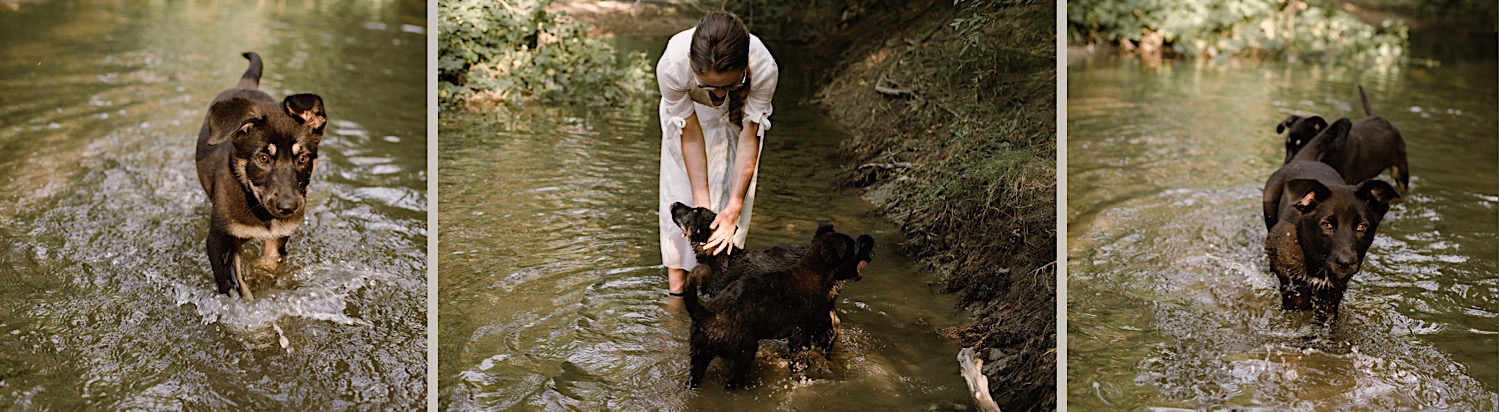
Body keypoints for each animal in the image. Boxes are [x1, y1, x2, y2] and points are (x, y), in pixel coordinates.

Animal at [193, 52, 325, 301]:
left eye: (303, 158)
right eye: (263, 158)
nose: (288, 207)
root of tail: (246, 85)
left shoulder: (281, 233)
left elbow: (271, 259)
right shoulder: (219, 241)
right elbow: (235, 288)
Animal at [683, 224, 875, 389]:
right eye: (854, 247)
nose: (871, 249)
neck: (817, 272)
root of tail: (704, 312)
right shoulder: (800, 334)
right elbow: (800, 360)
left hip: (699, 355)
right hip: (743, 353)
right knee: (732, 381)